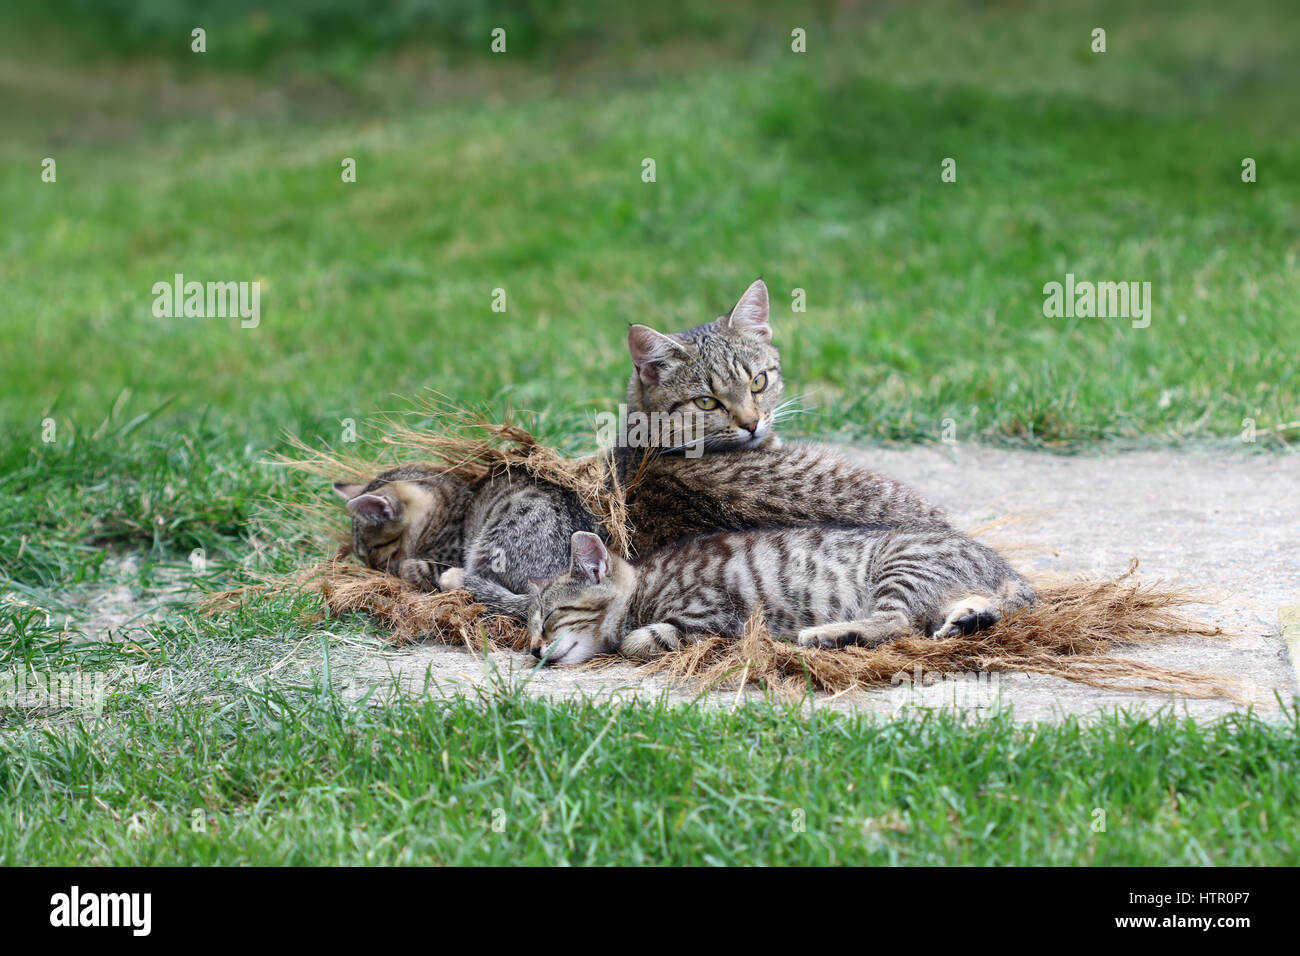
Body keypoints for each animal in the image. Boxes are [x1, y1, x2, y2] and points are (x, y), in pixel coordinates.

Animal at [527, 528, 1034, 671]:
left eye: (550, 618)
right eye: (531, 626)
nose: (532, 649)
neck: (644, 583)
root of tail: (1006, 568)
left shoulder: (715, 614)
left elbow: (637, 641)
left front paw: (633, 640)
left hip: (902, 567)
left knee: (898, 623)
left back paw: (828, 635)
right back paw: (968, 620)